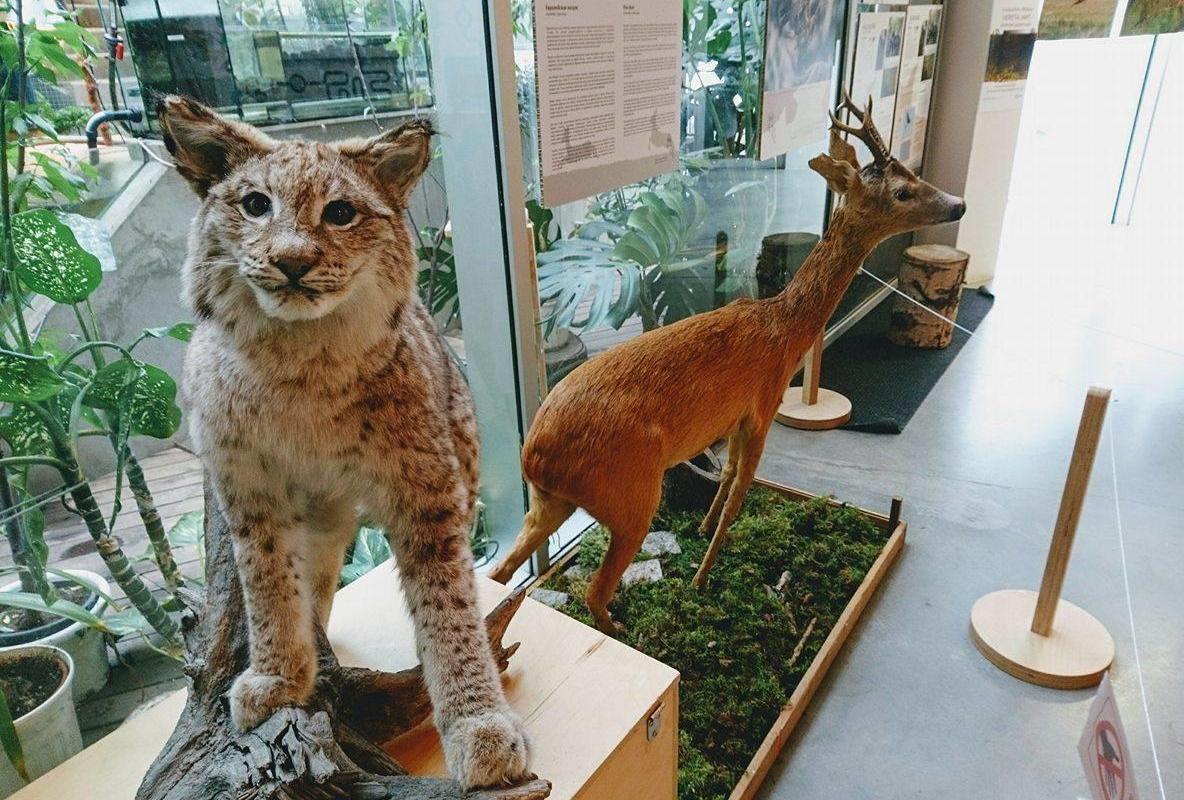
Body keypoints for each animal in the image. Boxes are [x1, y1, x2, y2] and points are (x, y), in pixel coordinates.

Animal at [490, 95, 961, 629]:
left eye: (912, 175)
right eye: (903, 191)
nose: (957, 204)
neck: (785, 330)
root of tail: (534, 455)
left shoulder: (734, 420)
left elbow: (728, 475)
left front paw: (701, 529)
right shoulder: (763, 408)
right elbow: (740, 493)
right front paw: (702, 577)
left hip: (549, 503)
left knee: (502, 574)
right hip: (632, 498)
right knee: (592, 592)